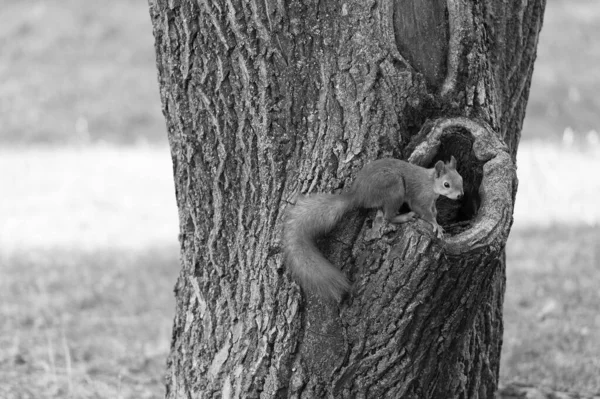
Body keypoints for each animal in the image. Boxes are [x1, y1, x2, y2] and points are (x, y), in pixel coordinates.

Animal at [284, 158, 464, 302]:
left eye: (461, 179)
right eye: (446, 184)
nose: (460, 196)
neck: (430, 183)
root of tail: (358, 195)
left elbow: (434, 211)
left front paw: (438, 219)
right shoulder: (420, 197)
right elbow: (425, 213)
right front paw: (437, 226)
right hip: (394, 187)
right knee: (388, 216)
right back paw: (404, 217)